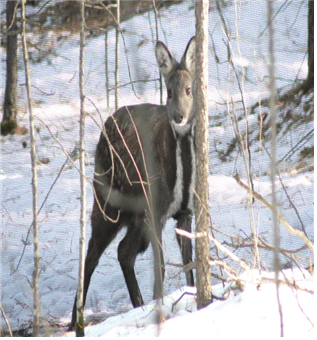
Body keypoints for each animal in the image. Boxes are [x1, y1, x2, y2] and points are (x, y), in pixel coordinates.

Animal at [70, 35, 196, 328]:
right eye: (168, 91)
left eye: (188, 89)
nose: (179, 117)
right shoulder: (155, 212)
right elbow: (160, 268)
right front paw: (161, 311)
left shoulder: (185, 212)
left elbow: (190, 265)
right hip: (107, 200)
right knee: (92, 253)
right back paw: (76, 323)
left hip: (135, 214)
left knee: (123, 251)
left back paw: (137, 306)